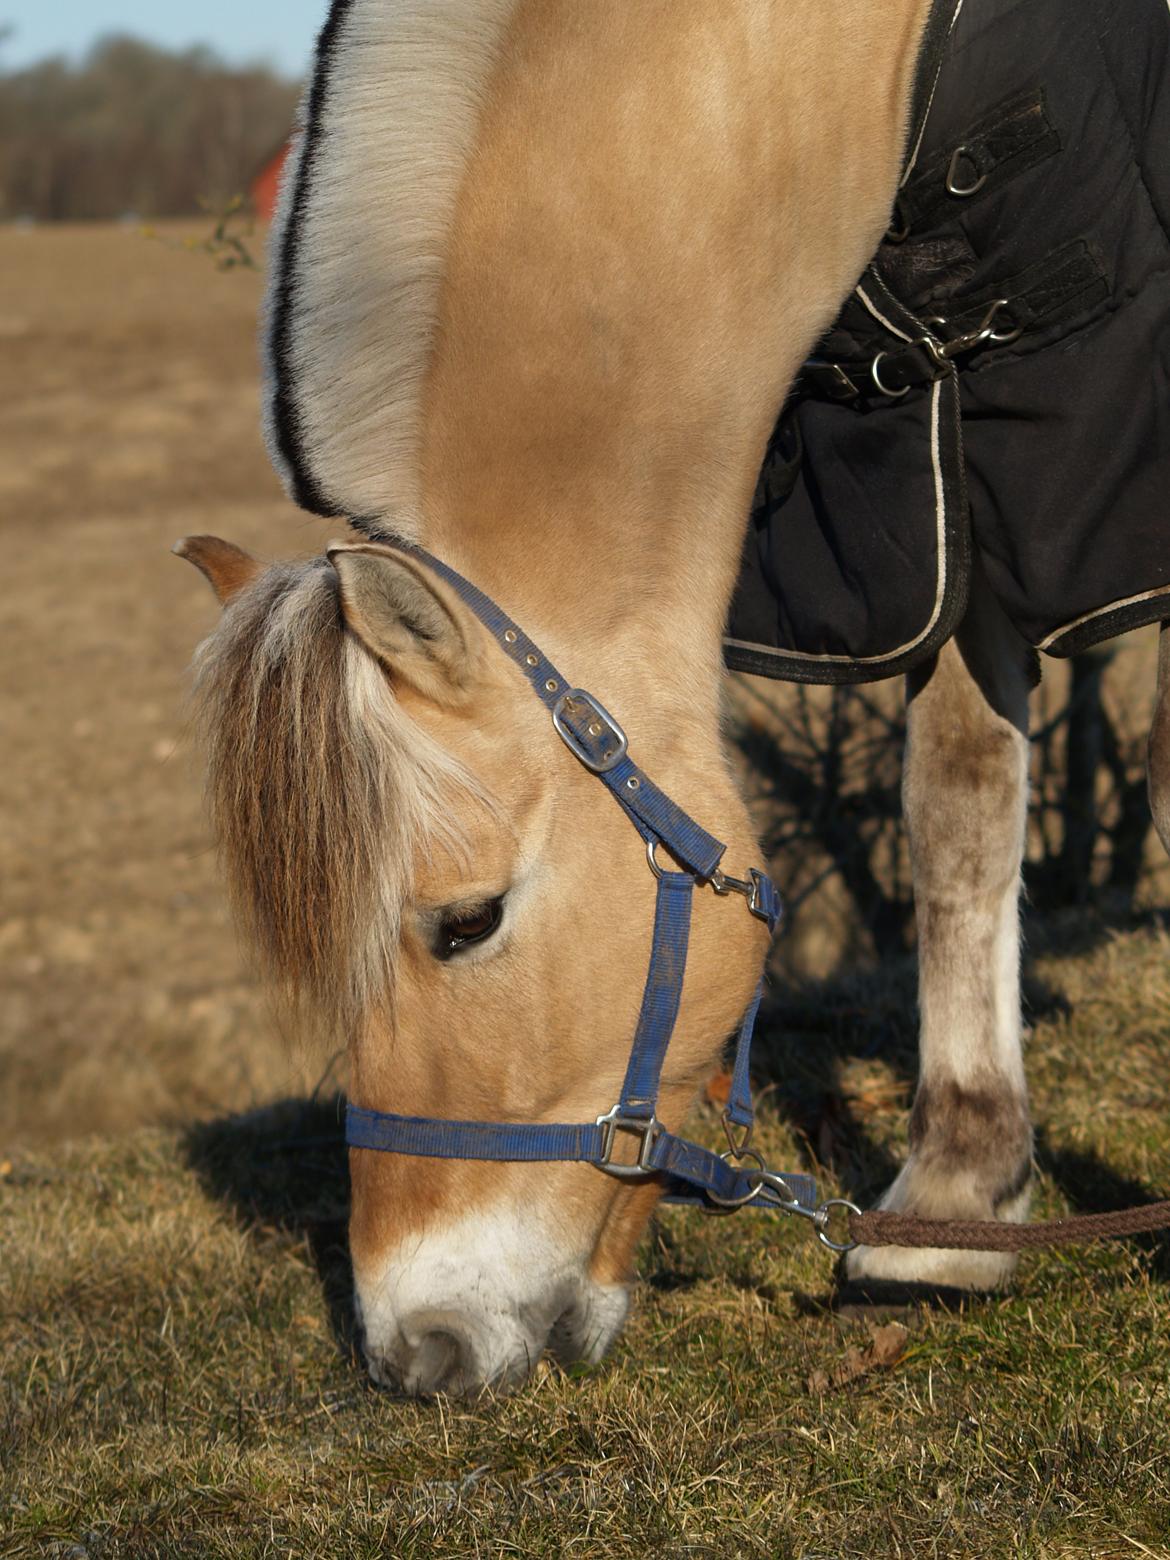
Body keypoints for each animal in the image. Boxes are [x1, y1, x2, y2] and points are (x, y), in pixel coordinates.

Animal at [178, 0, 1170, 1397]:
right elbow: (960, 808)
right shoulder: (954, 493)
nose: (415, 1353)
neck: (882, 80)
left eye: (466, 924)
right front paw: (959, 1200)